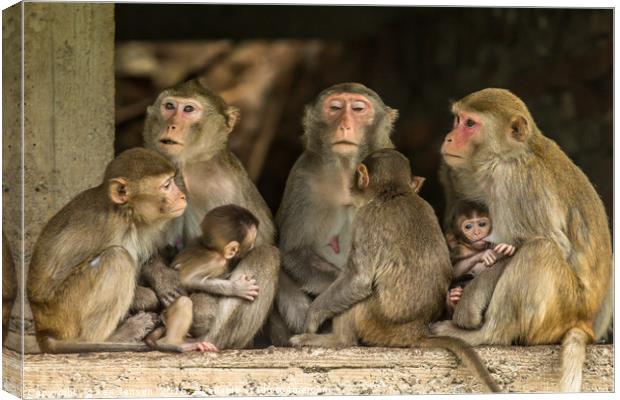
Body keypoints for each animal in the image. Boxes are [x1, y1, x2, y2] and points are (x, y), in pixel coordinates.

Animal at [25, 148, 205, 354]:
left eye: (172, 181)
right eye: (166, 185)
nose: (182, 196)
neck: (125, 213)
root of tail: (42, 328)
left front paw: (163, 279)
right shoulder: (109, 228)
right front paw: (148, 297)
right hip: (63, 311)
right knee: (116, 257)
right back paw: (115, 336)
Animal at [142, 79, 280, 350]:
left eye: (188, 109)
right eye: (169, 106)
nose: (171, 124)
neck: (186, 165)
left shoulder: (225, 182)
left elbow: (256, 240)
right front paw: (162, 276)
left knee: (267, 254)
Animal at [290, 148, 498, 392]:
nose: (352, 187)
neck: (395, 192)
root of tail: (416, 332)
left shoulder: (366, 218)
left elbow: (358, 280)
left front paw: (312, 318)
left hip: (377, 324)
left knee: (358, 296)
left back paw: (337, 340)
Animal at [428, 87, 612, 390]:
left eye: (470, 124)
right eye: (457, 119)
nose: (449, 138)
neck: (507, 155)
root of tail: (585, 323)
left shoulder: (518, 182)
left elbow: (544, 243)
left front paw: (468, 303)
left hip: (564, 309)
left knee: (540, 249)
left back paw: (485, 335)